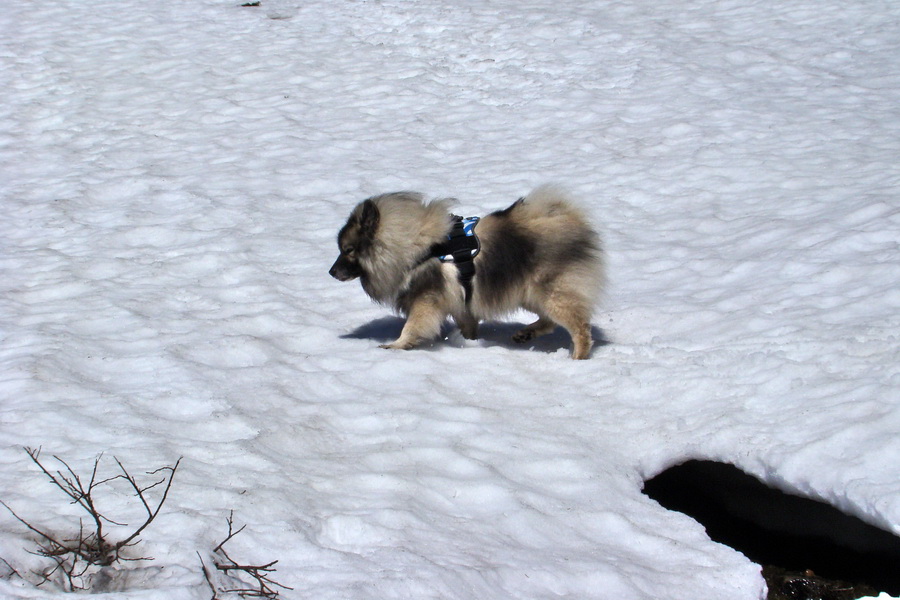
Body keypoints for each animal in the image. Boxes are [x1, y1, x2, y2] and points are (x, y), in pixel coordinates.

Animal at [330, 185, 604, 358]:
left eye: (348, 249)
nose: (331, 272)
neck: (415, 248)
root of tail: (570, 220)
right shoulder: (461, 304)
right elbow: (468, 325)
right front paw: (470, 343)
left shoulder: (426, 301)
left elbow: (411, 327)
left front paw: (395, 346)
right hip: (530, 293)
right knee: (549, 321)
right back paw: (526, 334)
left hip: (549, 293)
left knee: (580, 328)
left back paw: (577, 358)